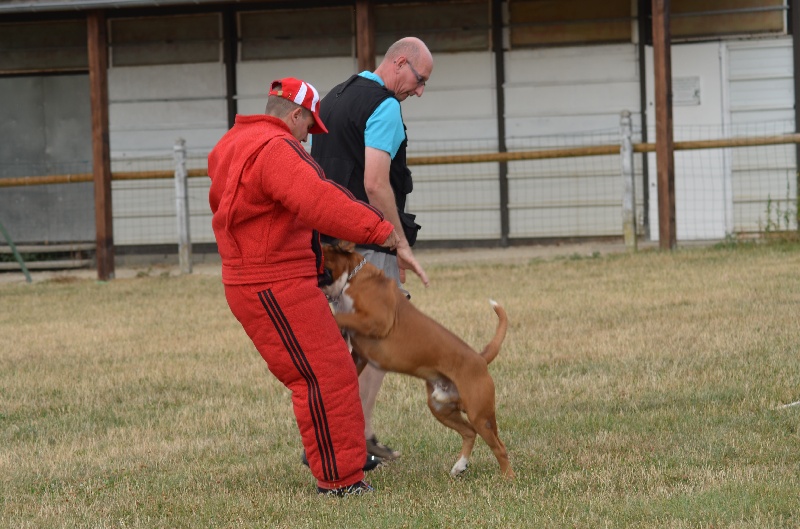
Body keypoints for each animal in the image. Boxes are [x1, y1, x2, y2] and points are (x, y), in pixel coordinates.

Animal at [322, 241, 516, 476]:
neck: (353, 277)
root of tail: (479, 359)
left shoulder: (376, 321)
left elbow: (340, 317)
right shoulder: (360, 355)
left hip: (480, 414)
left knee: (499, 446)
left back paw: (508, 477)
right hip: (441, 408)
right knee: (469, 432)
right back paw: (460, 466)